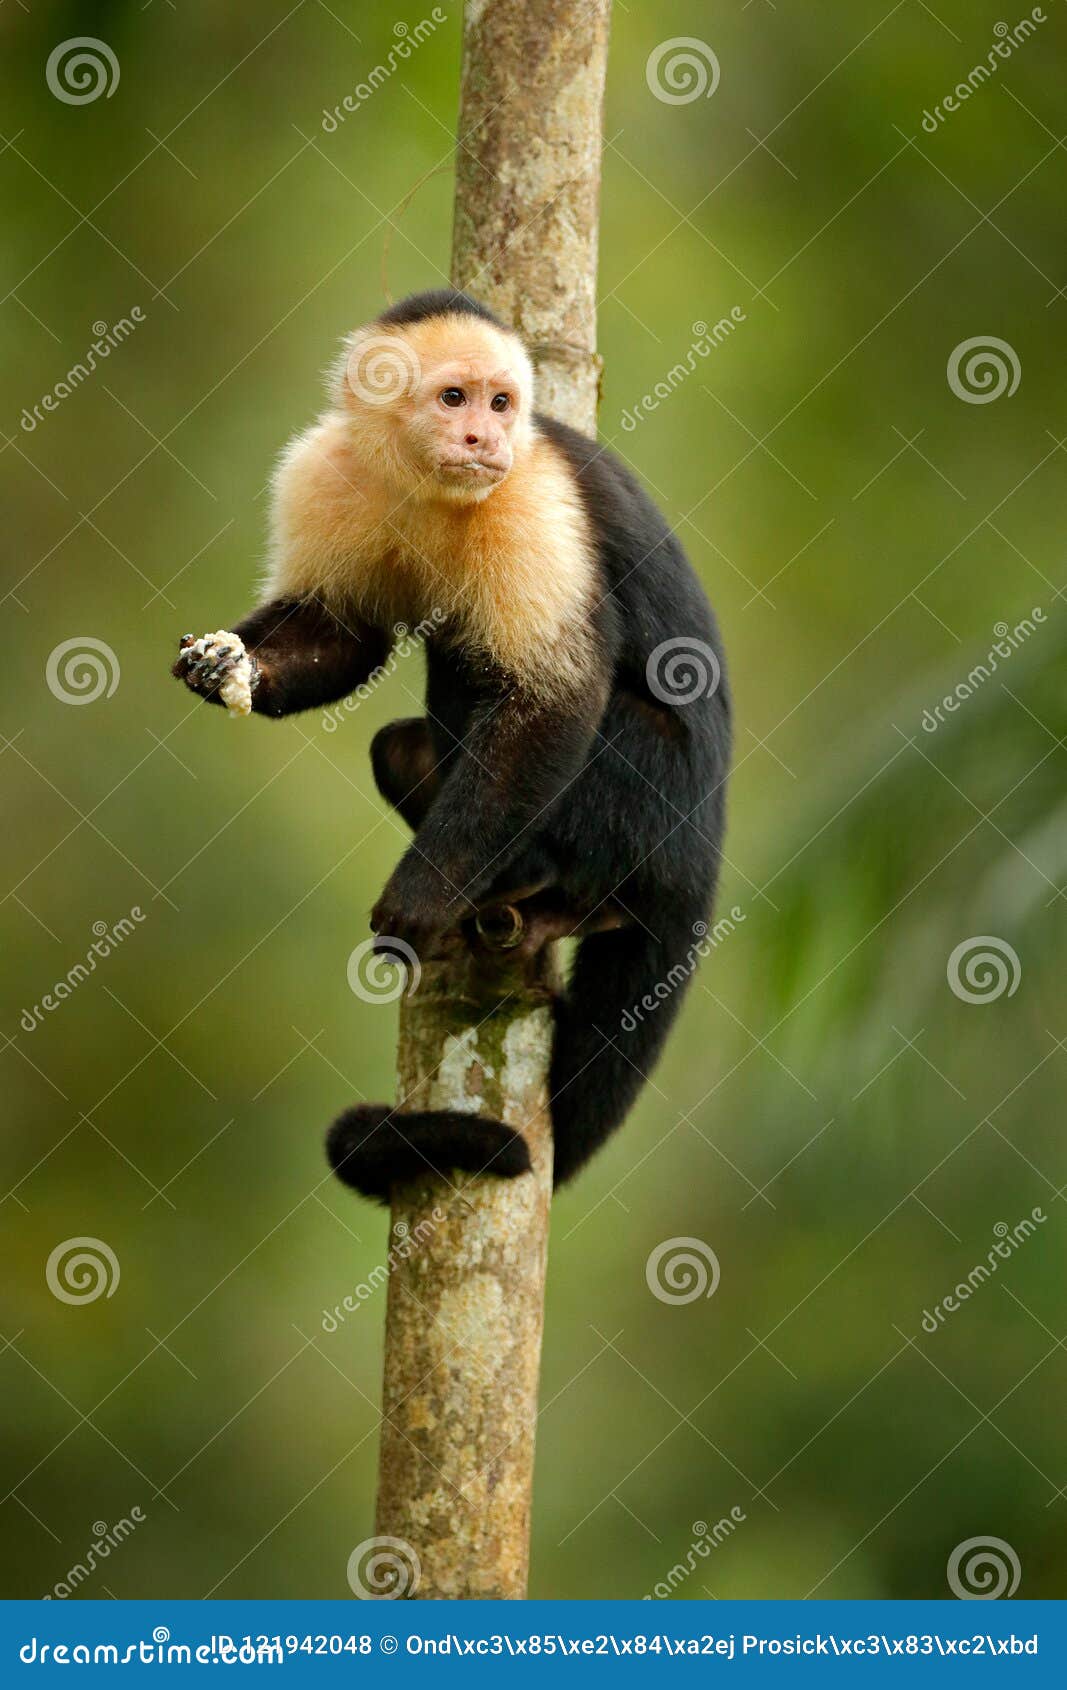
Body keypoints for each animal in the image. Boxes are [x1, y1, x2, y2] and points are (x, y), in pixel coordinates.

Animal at [173, 297, 733, 1210]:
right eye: (453, 398)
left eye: (501, 404)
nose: (482, 437)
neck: (421, 483)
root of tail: (705, 851)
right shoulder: (322, 471)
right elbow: (342, 634)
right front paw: (229, 666)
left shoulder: (531, 498)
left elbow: (551, 699)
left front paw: (423, 897)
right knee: (401, 742)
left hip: (659, 796)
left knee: (495, 669)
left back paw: (552, 892)